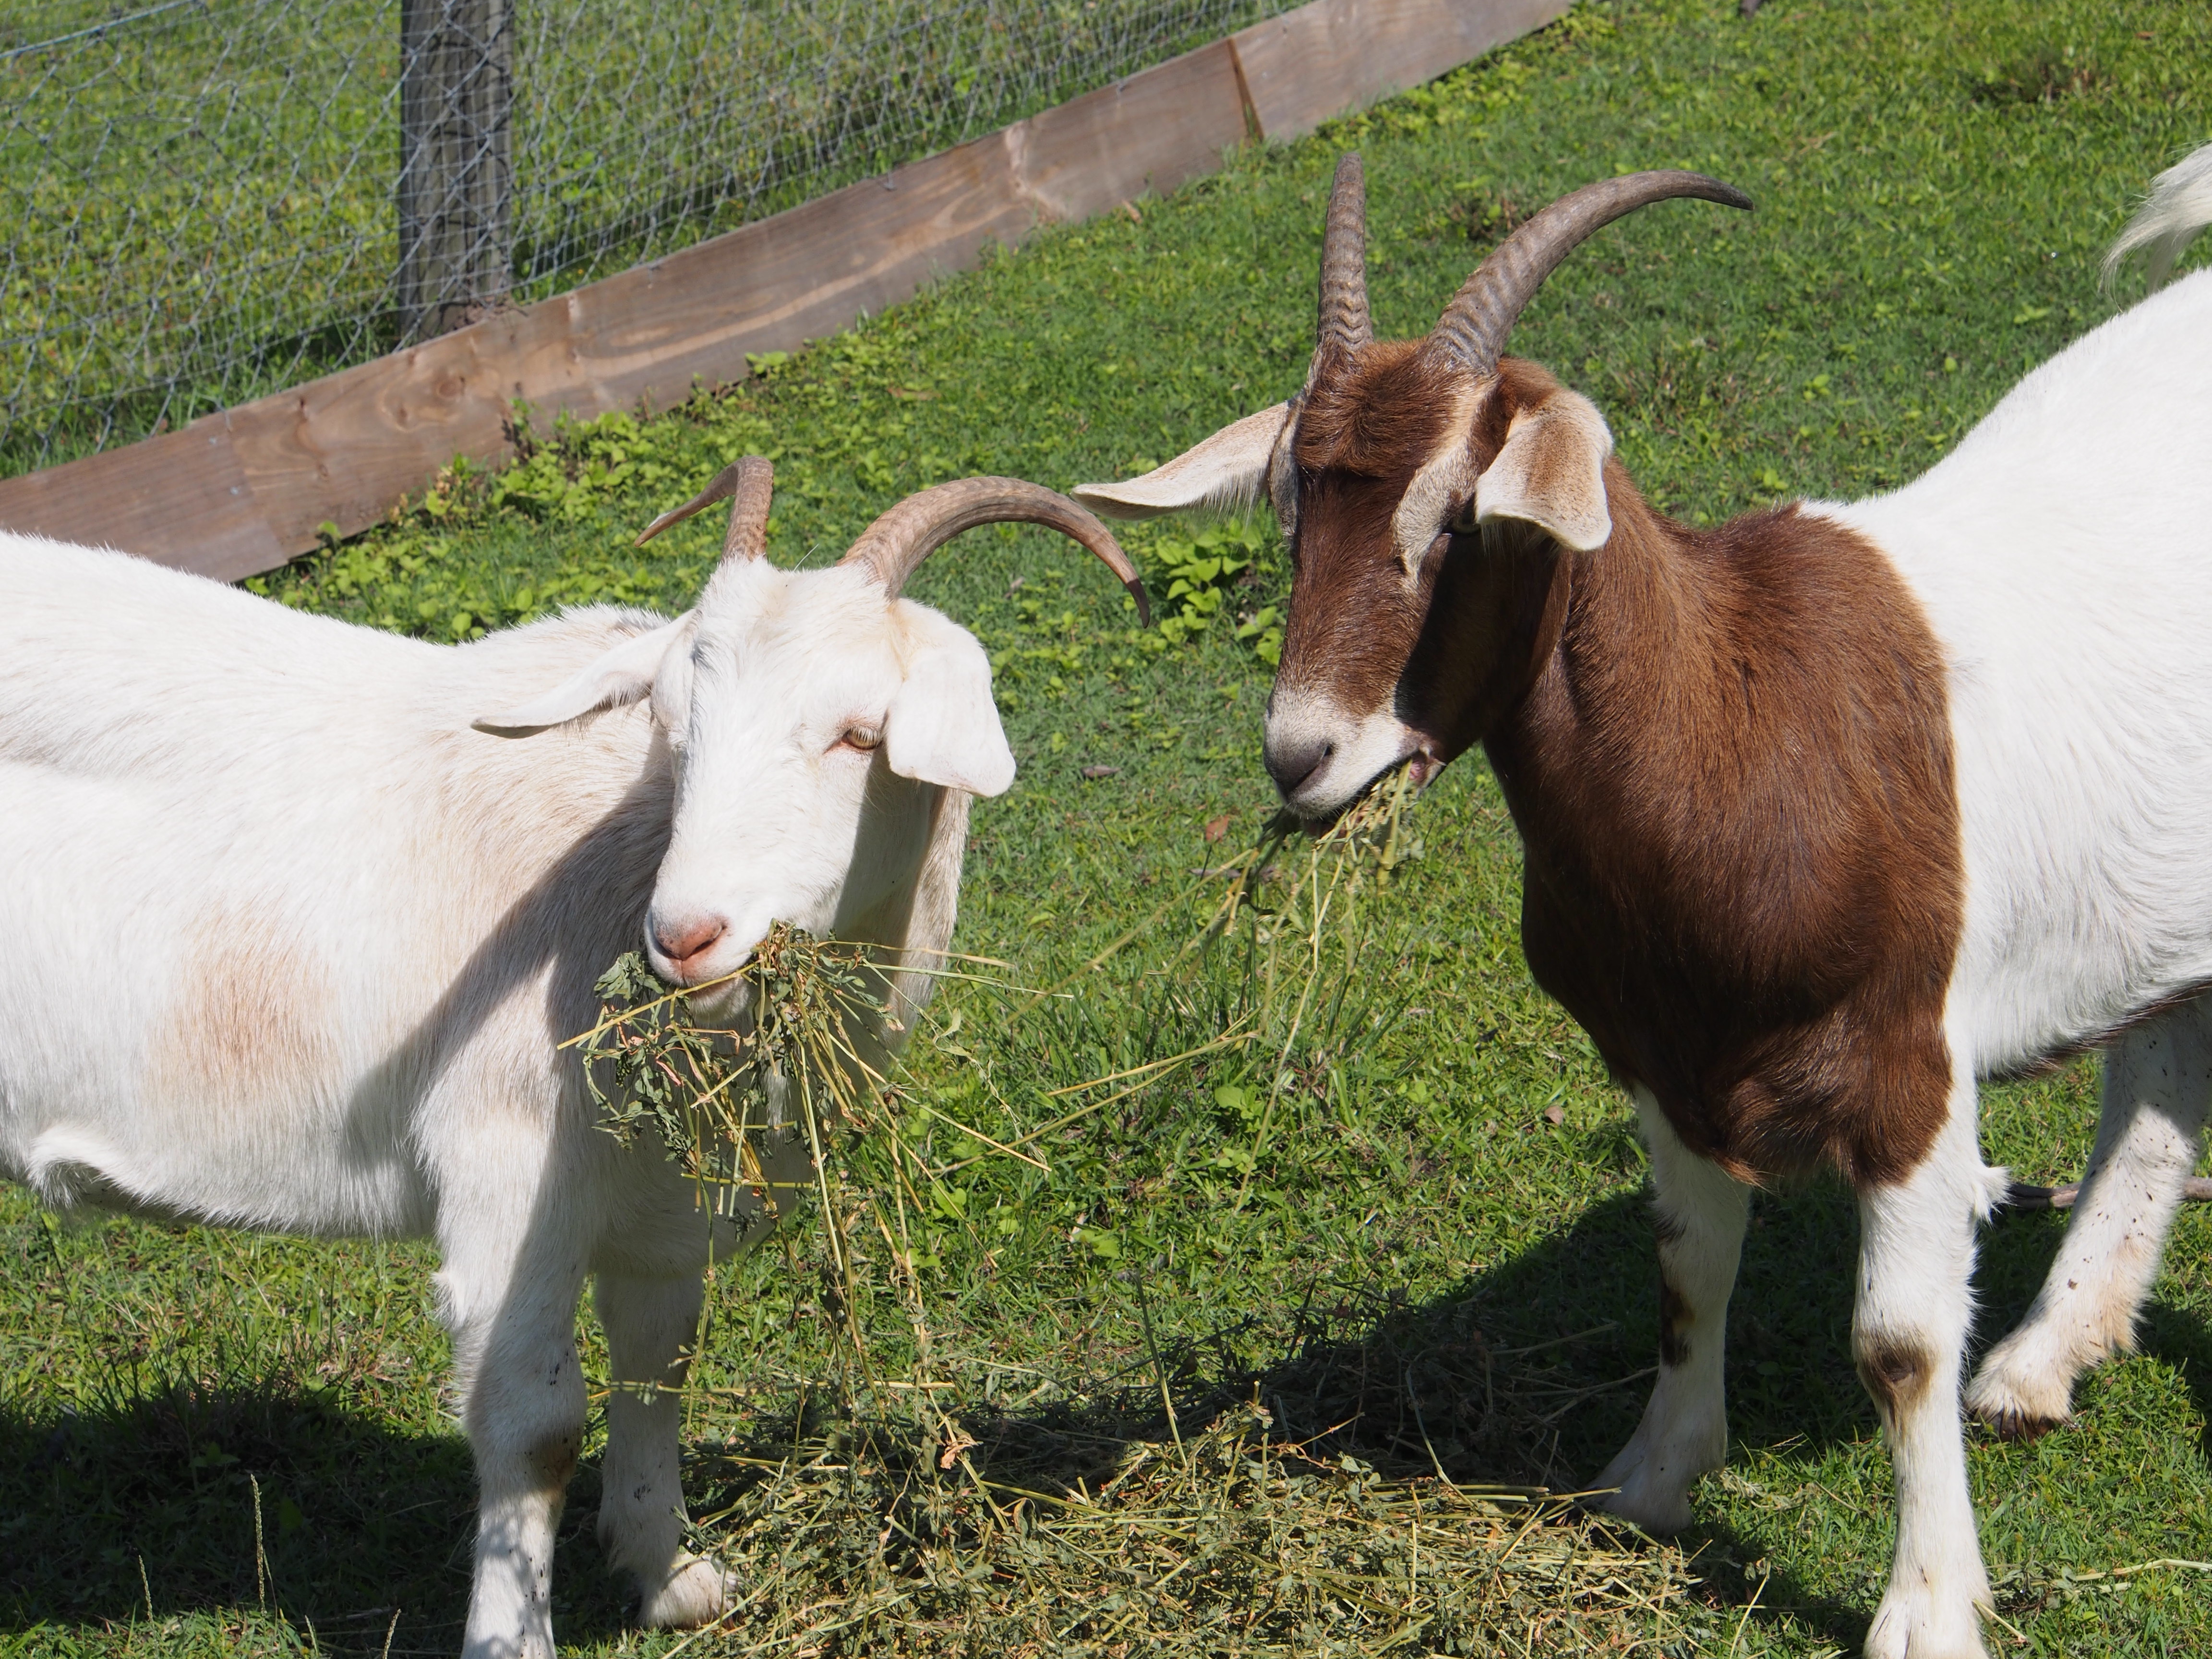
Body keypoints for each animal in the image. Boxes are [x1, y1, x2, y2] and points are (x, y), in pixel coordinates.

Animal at [0, 459, 1145, 1659]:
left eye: (858, 732)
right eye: (671, 727)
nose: (687, 935)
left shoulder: (666, 1197)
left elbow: (662, 1359)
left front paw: (668, 1574)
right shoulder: (506, 1168)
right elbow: (534, 1424)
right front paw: (513, 1635)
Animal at [1072, 148, 2212, 1659]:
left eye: (1460, 517)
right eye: (1294, 510)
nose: (1302, 755)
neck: (1738, 716)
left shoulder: (1906, 1066)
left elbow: (1898, 1346)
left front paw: (1925, 1606)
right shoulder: (1664, 1059)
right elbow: (1686, 1272)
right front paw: (1651, 1479)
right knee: (2160, 1065)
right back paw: (2040, 1359)